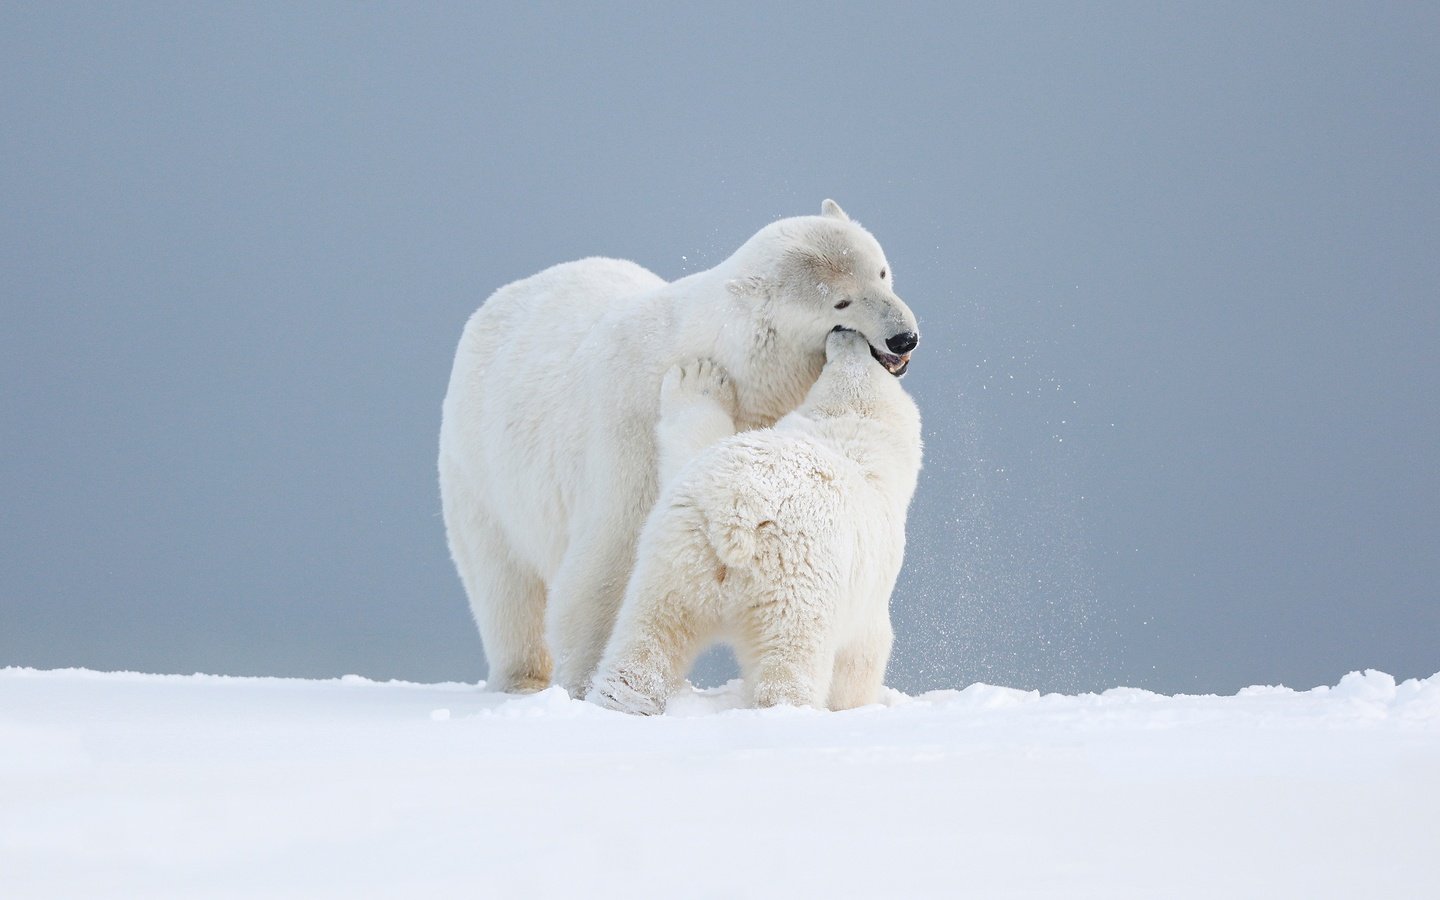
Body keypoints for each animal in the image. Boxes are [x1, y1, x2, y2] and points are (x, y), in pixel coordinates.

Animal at [584, 326, 921, 711]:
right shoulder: (871, 584)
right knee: (788, 659)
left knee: (648, 638)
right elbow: (864, 652)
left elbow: (689, 447)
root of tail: (738, 513)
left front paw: (697, 378)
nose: (844, 332)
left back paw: (620, 700)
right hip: (795, 580)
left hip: (677, 555)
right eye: (864, 356)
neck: (843, 433)